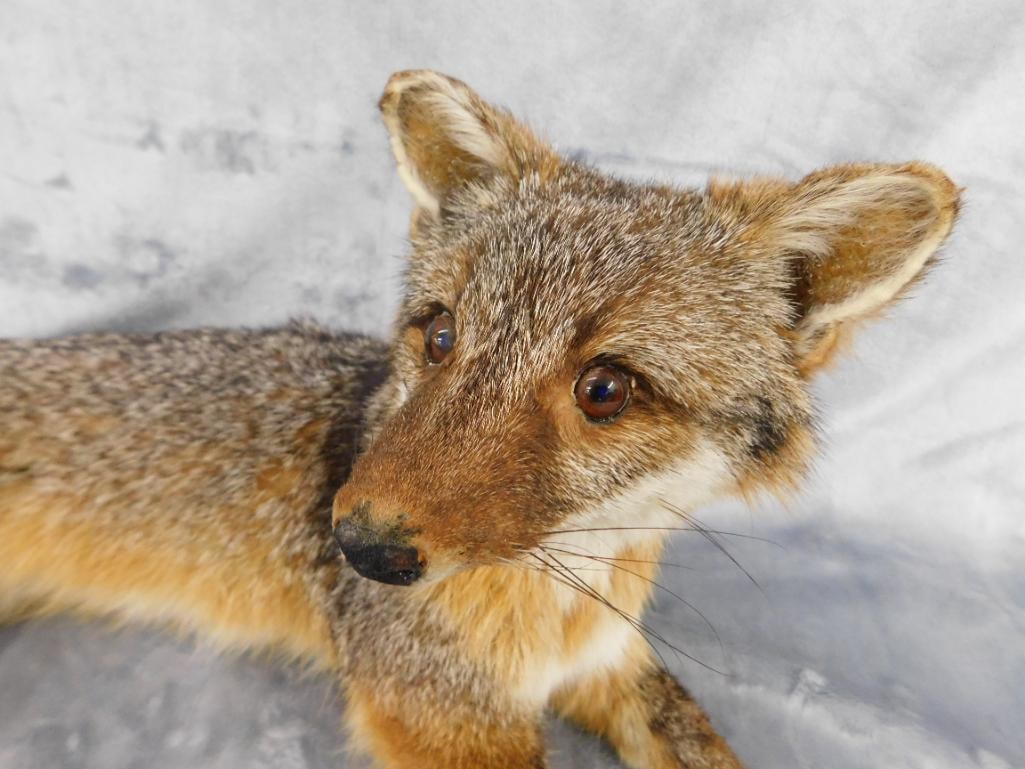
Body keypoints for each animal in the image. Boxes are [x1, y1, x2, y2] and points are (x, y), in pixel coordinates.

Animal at [0, 69, 959, 769]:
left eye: (604, 389)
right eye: (440, 334)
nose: (361, 547)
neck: (563, 602)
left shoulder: (609, 661)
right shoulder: (448, 714)